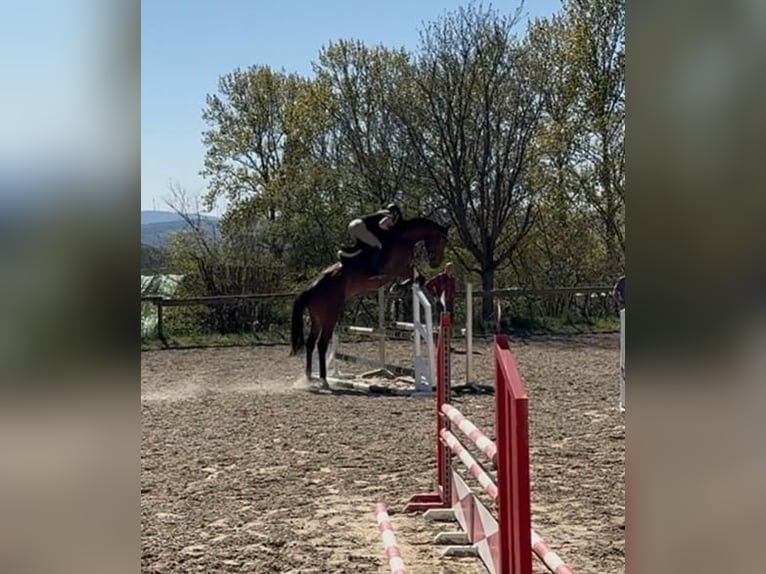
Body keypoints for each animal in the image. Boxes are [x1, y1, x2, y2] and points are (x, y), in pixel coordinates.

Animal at [290, 217, 449, 391]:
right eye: (443, 240)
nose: (436, 264)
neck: (403, 237)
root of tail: (311, 289)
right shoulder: (399, 268)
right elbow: (419, 276)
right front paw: (401, 286)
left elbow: (416, 276)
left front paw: (398, 287)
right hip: (330, 317)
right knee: (321, 344)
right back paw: (324, 380)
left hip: (317, 319)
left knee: (310, 343)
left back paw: (310, 377)